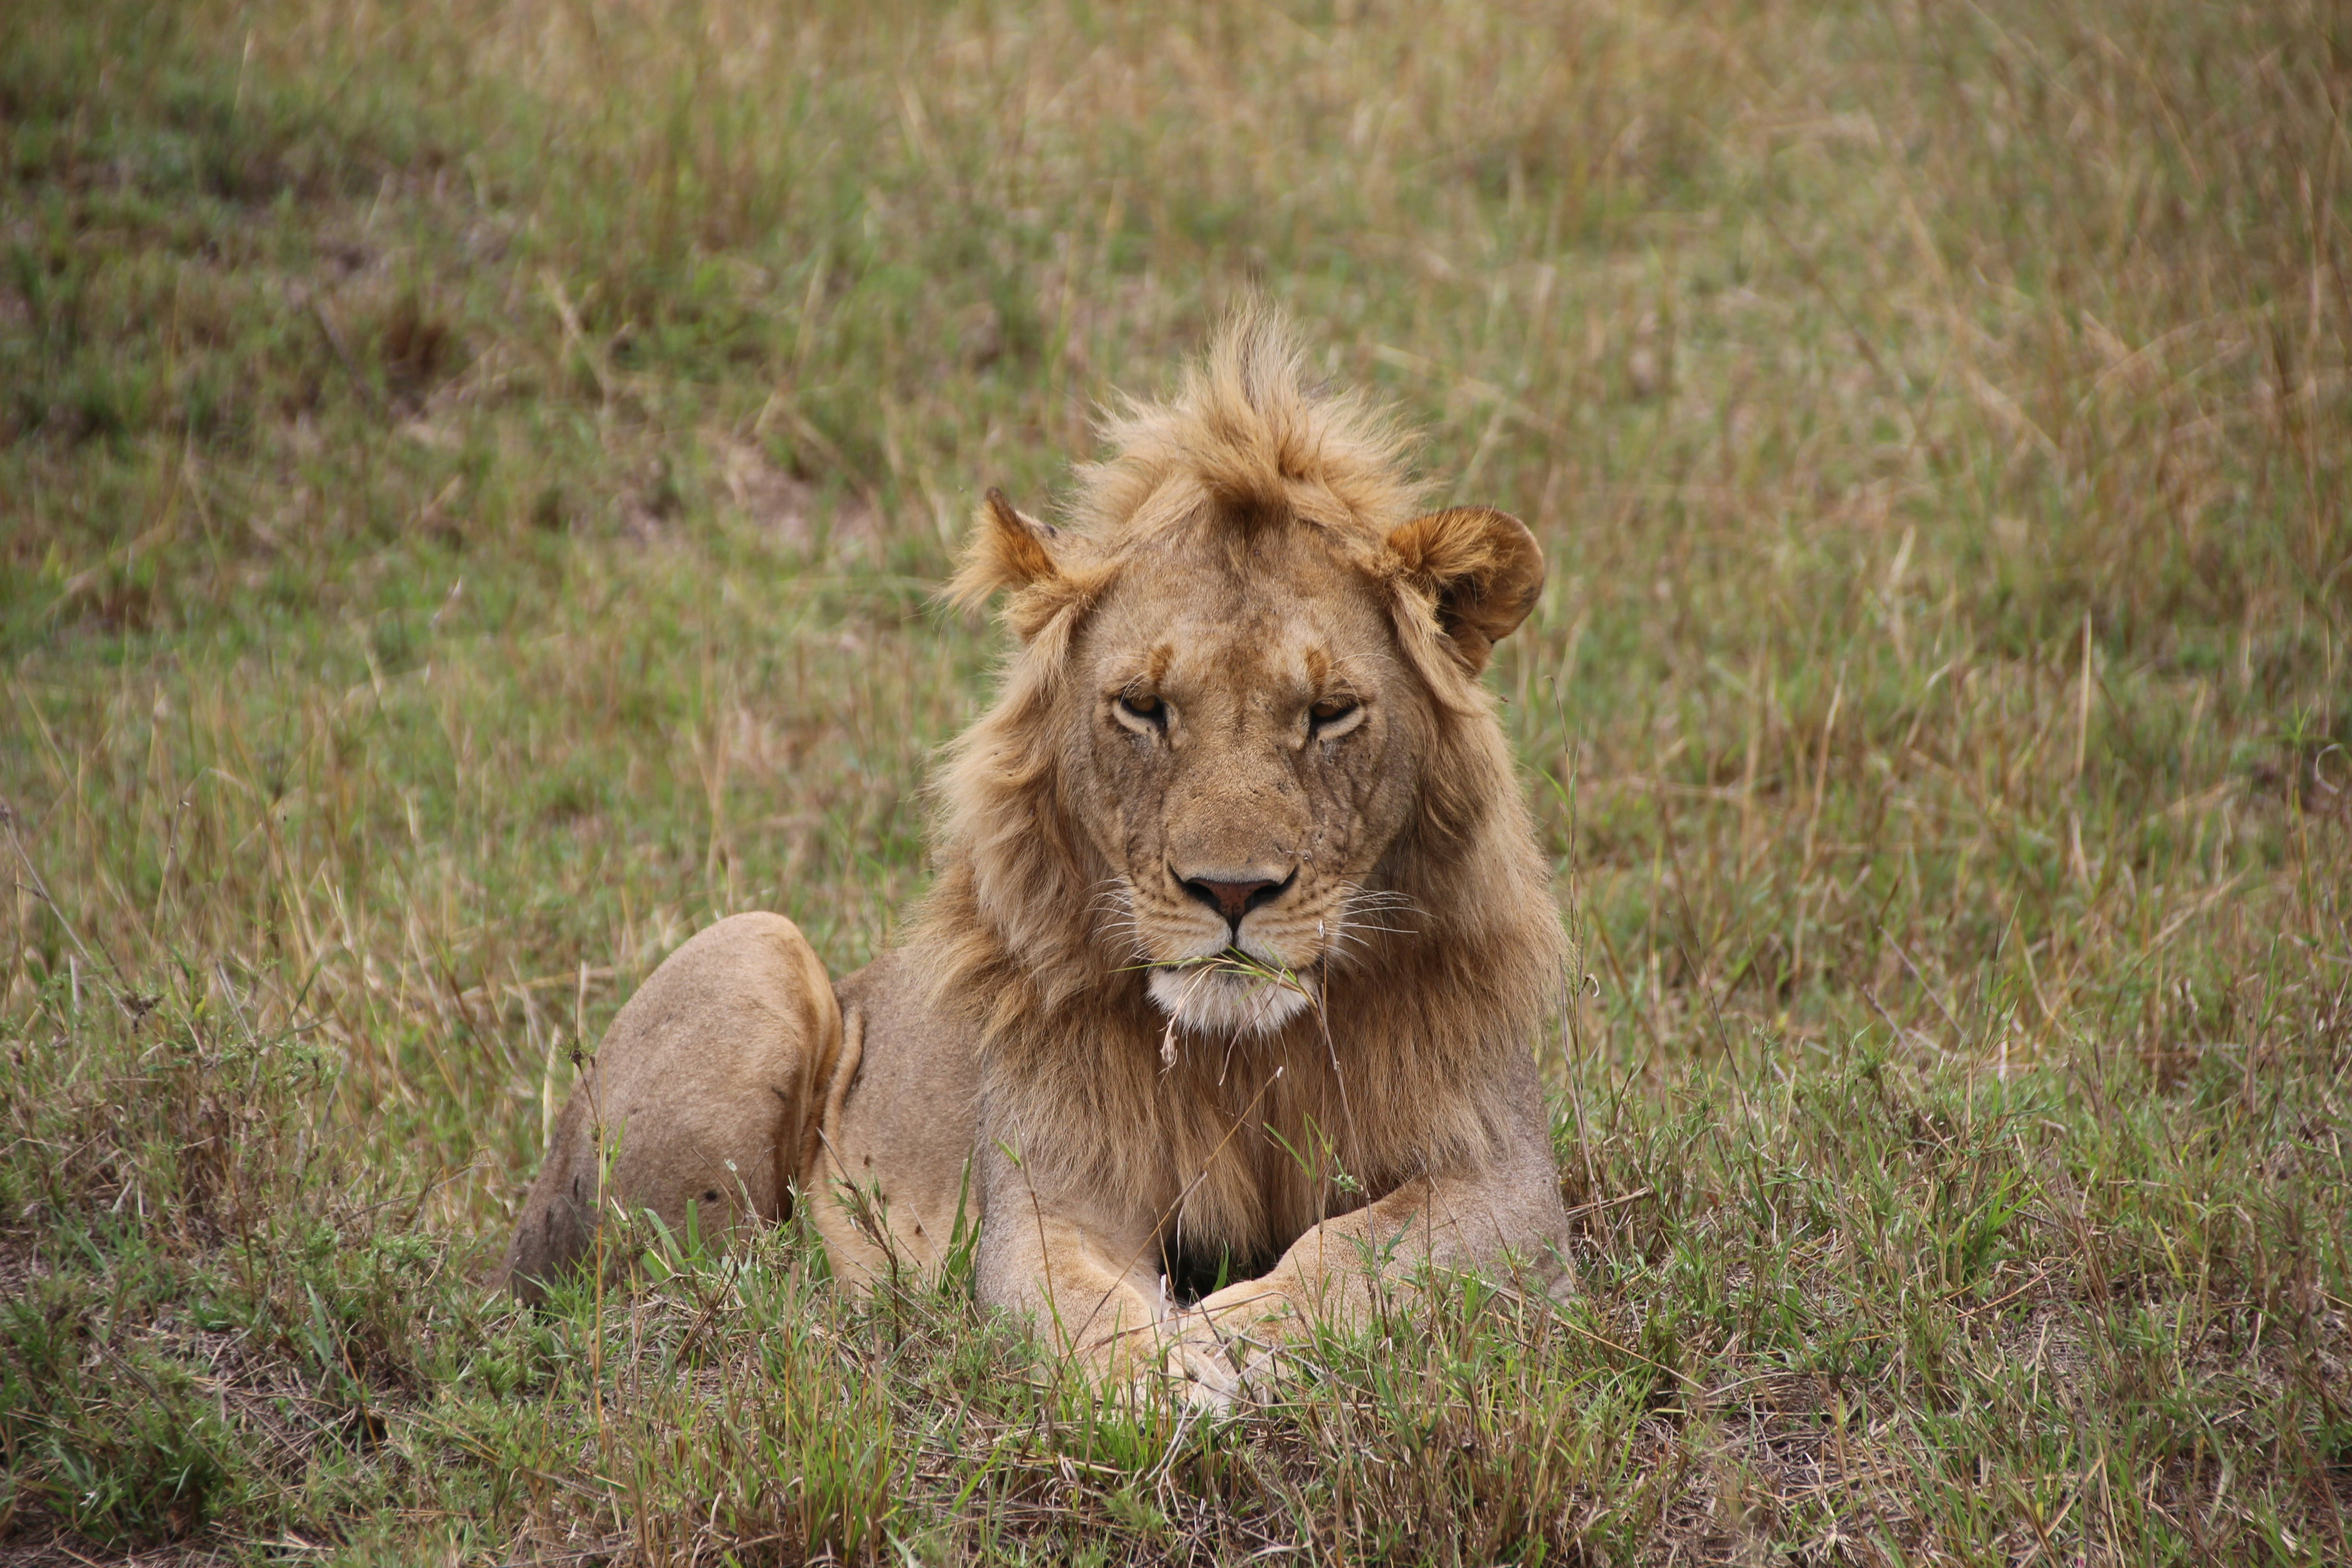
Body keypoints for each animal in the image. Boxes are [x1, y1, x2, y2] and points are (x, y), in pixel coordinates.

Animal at [502, 308, 1574, 1403]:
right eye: (1142, 707)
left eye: (1329, 712)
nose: (1231, 891)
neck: (1240, 1062)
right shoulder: (1044, 1196)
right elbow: (1079, 1302)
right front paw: (1163, 1375)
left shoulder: (1512, 1186)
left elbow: (1359, 1250)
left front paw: (1242, 1329)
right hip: (752, 949)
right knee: (699, 1281)